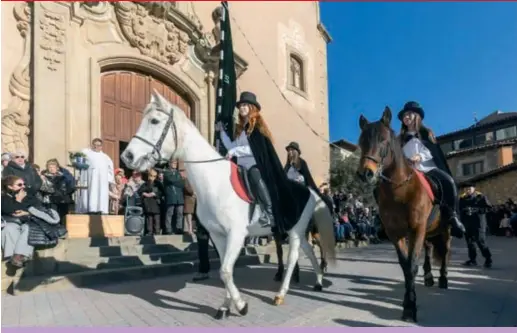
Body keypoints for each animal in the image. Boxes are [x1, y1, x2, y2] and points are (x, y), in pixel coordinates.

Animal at [122, 89, 336, 318]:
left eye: (154, 120)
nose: (127, 156)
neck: (214, 181)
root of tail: (310, 191)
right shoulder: (218, 235)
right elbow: (225, 271)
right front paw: (225, 306)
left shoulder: (236, 234)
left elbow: (225, 270)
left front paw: (241, 306)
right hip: (296, 230)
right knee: (309, 251)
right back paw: (318, 281)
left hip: (294, 231)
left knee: (293, 257)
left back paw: (281, 294)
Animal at [356, 106, 450, 322]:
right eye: (361, 142)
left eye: (383, 140)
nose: (365, 174)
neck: (400, 191)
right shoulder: (396, 233)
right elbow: (406, 266)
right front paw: (408, 305)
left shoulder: (416, 229)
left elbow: (412, 266)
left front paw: (410, 308)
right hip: (428, 232)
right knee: (430, 250)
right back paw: (430, 277)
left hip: (445, 229)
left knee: (445, 251)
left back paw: (443, 279)